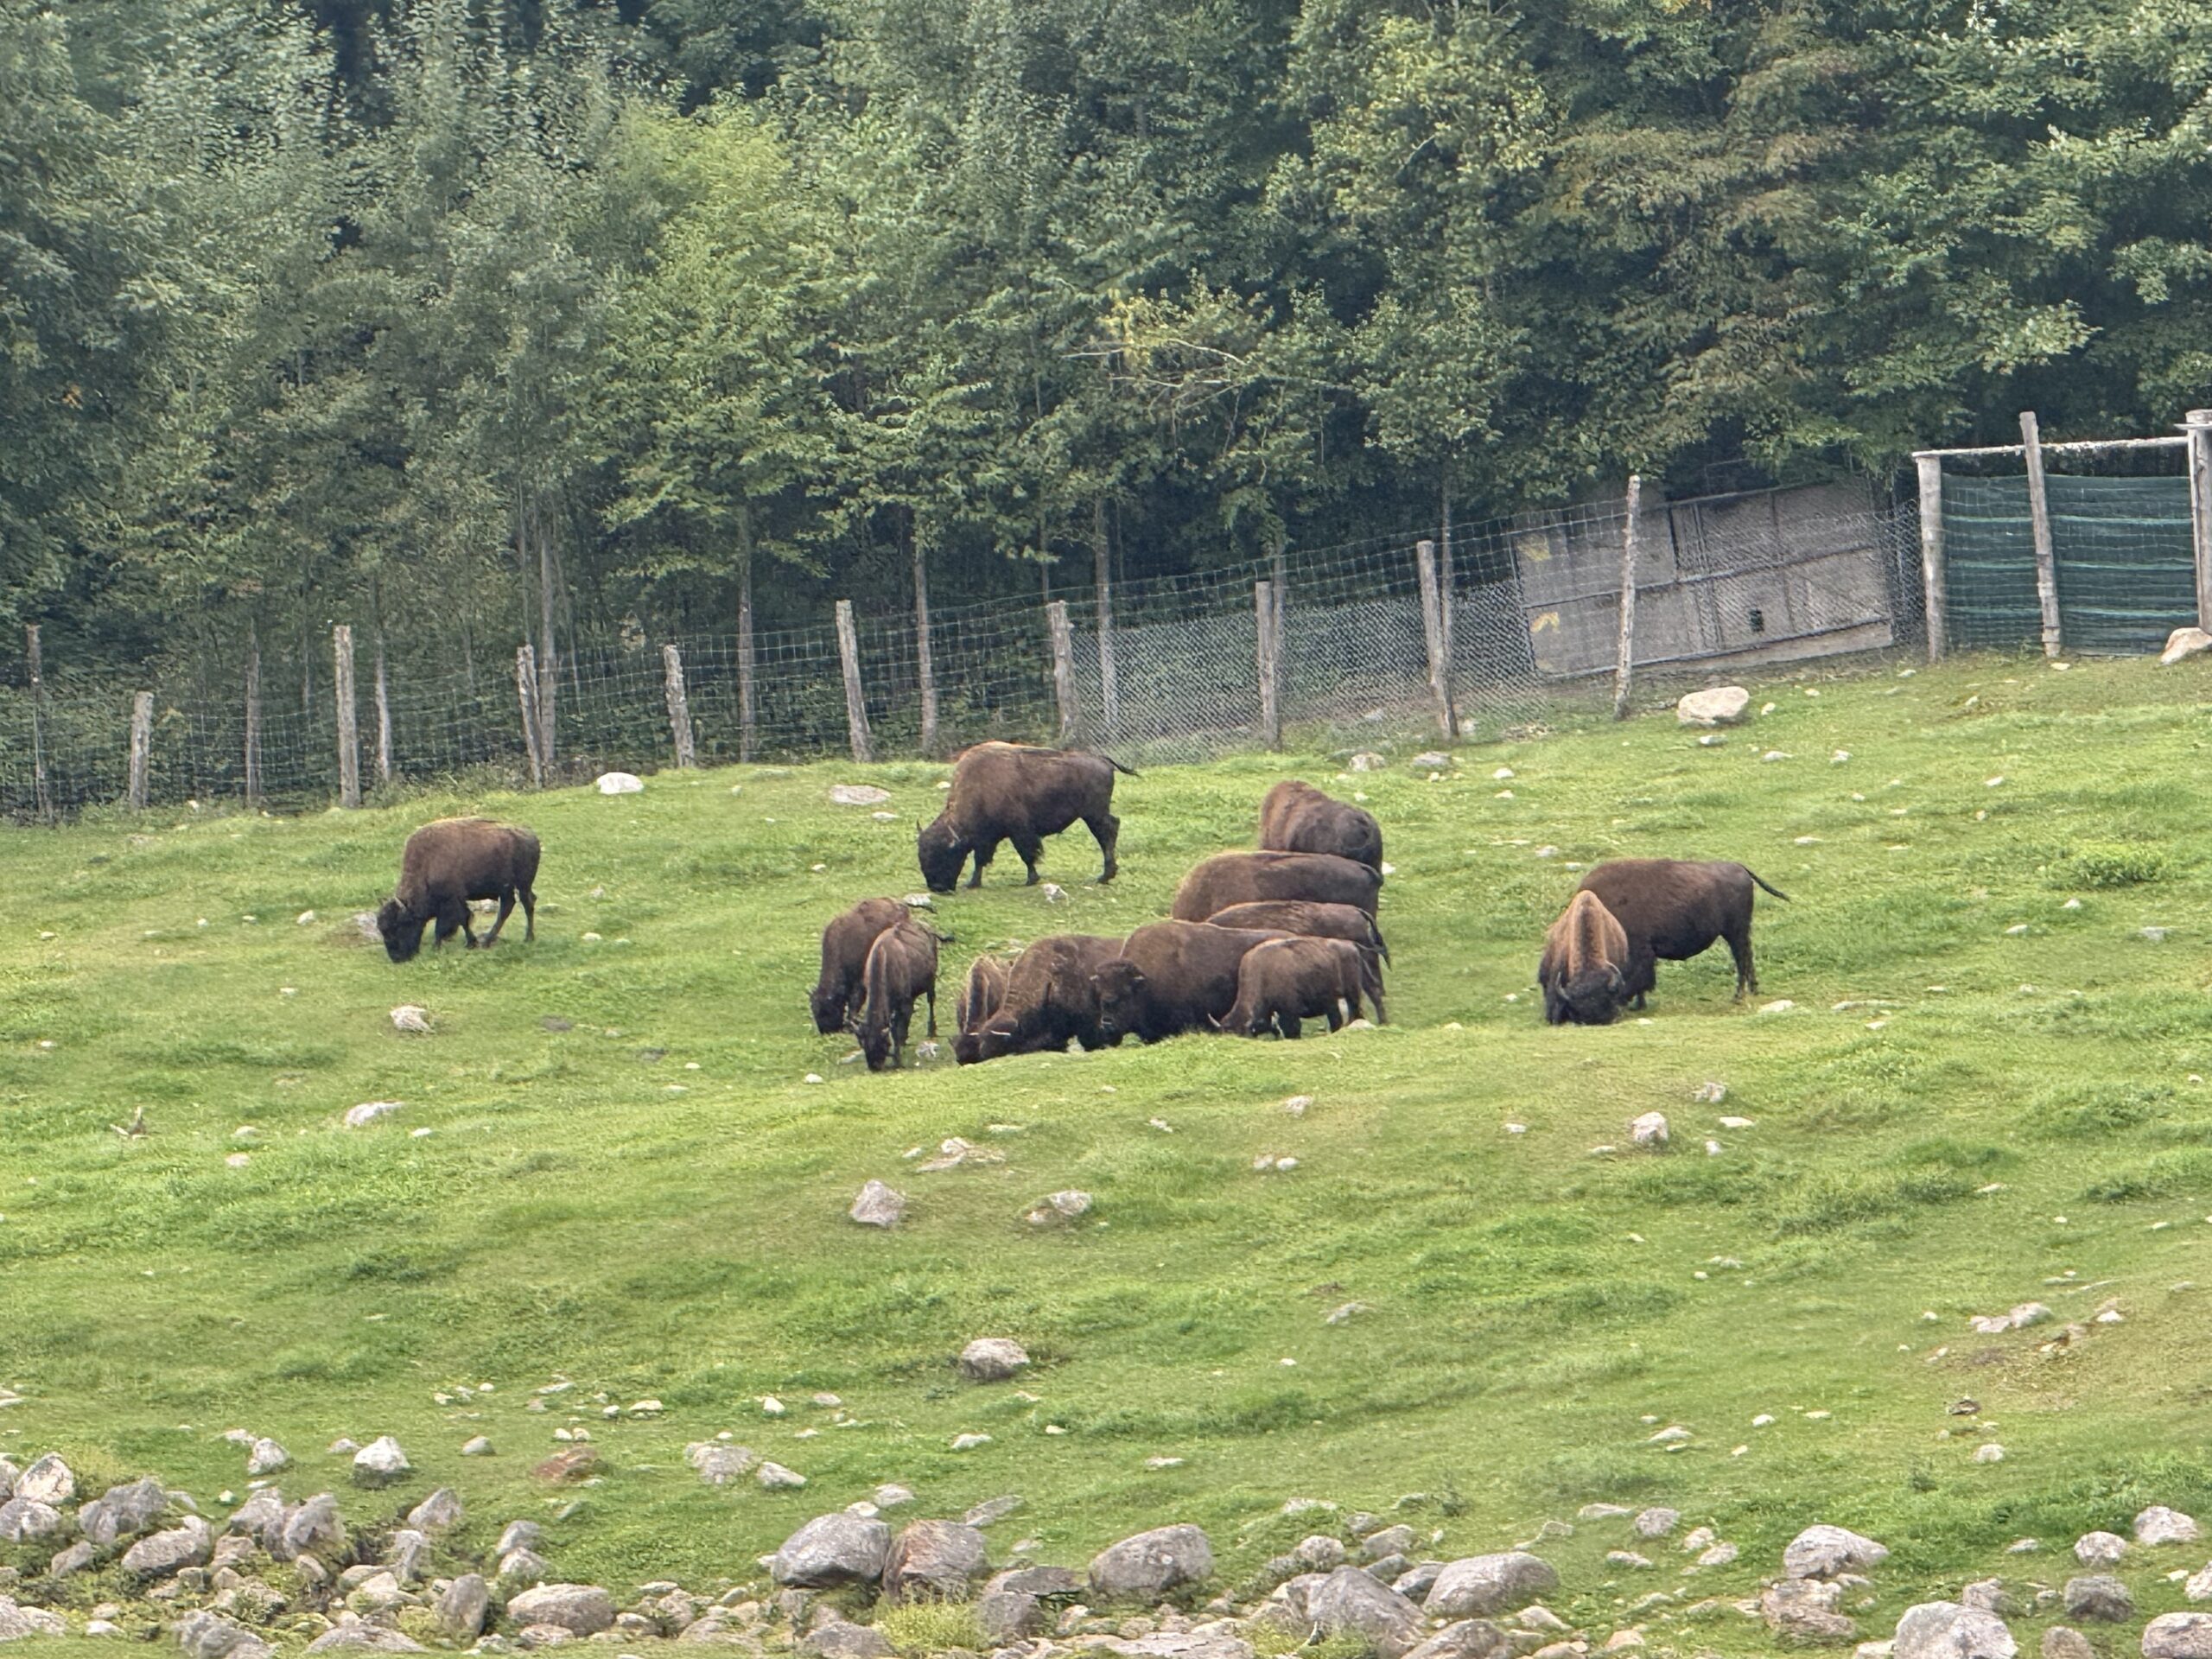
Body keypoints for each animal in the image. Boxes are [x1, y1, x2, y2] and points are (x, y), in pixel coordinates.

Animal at [376, 818, 539, 964]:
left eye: (399, 926)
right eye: (382, 929)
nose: (396, 958)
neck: (426, 866)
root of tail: (531, 836)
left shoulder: (451, 900)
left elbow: (446, 924)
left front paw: (437, 947)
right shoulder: (457, 901)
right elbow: (464, 919)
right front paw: (470, 942)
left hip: (523, 885)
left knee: (527, 905)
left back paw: (527, 938)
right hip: (506, 889)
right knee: (507, 907)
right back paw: (488, 940)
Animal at [856, 921, 940, 1071]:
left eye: (883, 1043)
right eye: (863, 1044)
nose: (874, 1066)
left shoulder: (904, 1003)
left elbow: (897, 1030)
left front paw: (897, 1060)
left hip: (931, 982)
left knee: (931, 1001)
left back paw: (931, 1030)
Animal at [918, 742, 1135, 893]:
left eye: (943, 855)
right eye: (922, 856)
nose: (937, 887)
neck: (978, 790)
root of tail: (1102, 760)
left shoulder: (1020, 831)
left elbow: (1027, 854)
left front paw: (1031, 879)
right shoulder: (986, 839)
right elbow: (980, 860)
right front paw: (973, 883)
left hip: (1093, 814)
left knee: (1107, 834)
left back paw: (1104, 876)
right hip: (1095, 814)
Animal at [1219, 936, 1384, 1038]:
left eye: (1243, 1033)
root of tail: (1351, 945)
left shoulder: (1290, 1012)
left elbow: (1293, 1029)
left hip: (1352, 995)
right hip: (1333, 1003)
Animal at [1574, 858, 1790, 1007]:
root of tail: (1739, 867)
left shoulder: (1641, 951)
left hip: (1735, 932)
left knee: (1742, 960)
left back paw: (1738, 997)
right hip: (1740, 933)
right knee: (1748, 957)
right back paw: (1753, 991)